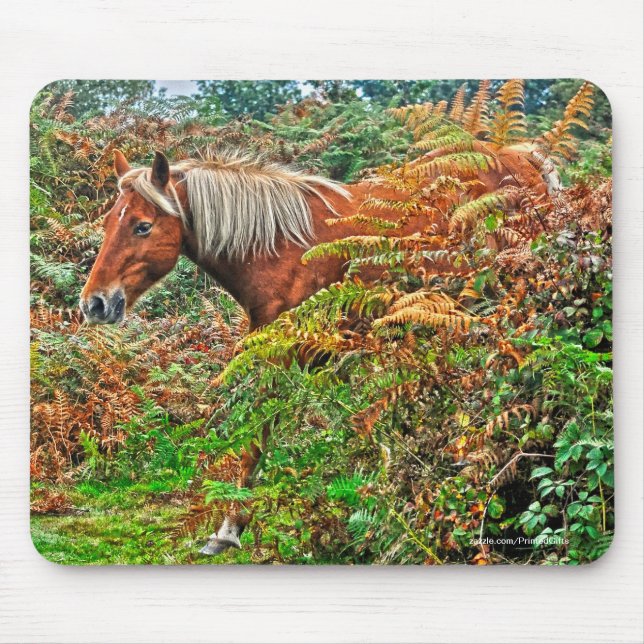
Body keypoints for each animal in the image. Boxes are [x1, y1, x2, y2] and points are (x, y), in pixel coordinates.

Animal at [79, 146, 552, 555]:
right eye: (107, 224)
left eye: (142, 225)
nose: (94, 304)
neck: (274, 248)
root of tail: (521, 159)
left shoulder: (280, 358)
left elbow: (256, 439)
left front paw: (230, 527)